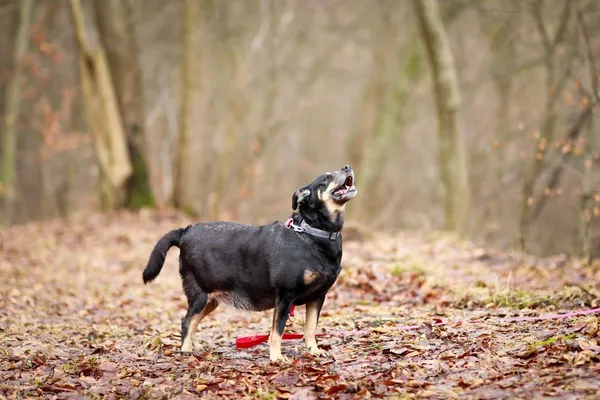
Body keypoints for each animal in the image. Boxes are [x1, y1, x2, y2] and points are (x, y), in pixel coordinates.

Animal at [142, 164, 356, 360]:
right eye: (326, 178)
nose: (347, 167)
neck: (313, 233)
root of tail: (185, 231)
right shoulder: (285, 296)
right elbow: (276, 332)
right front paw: (277, 358)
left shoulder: (318, 297)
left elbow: (310, 329)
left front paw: (314, 351)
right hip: (200, 294)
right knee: (187, 321)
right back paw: (186, 350)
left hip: (211, 300)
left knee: (193, 321)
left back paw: (195, 347)